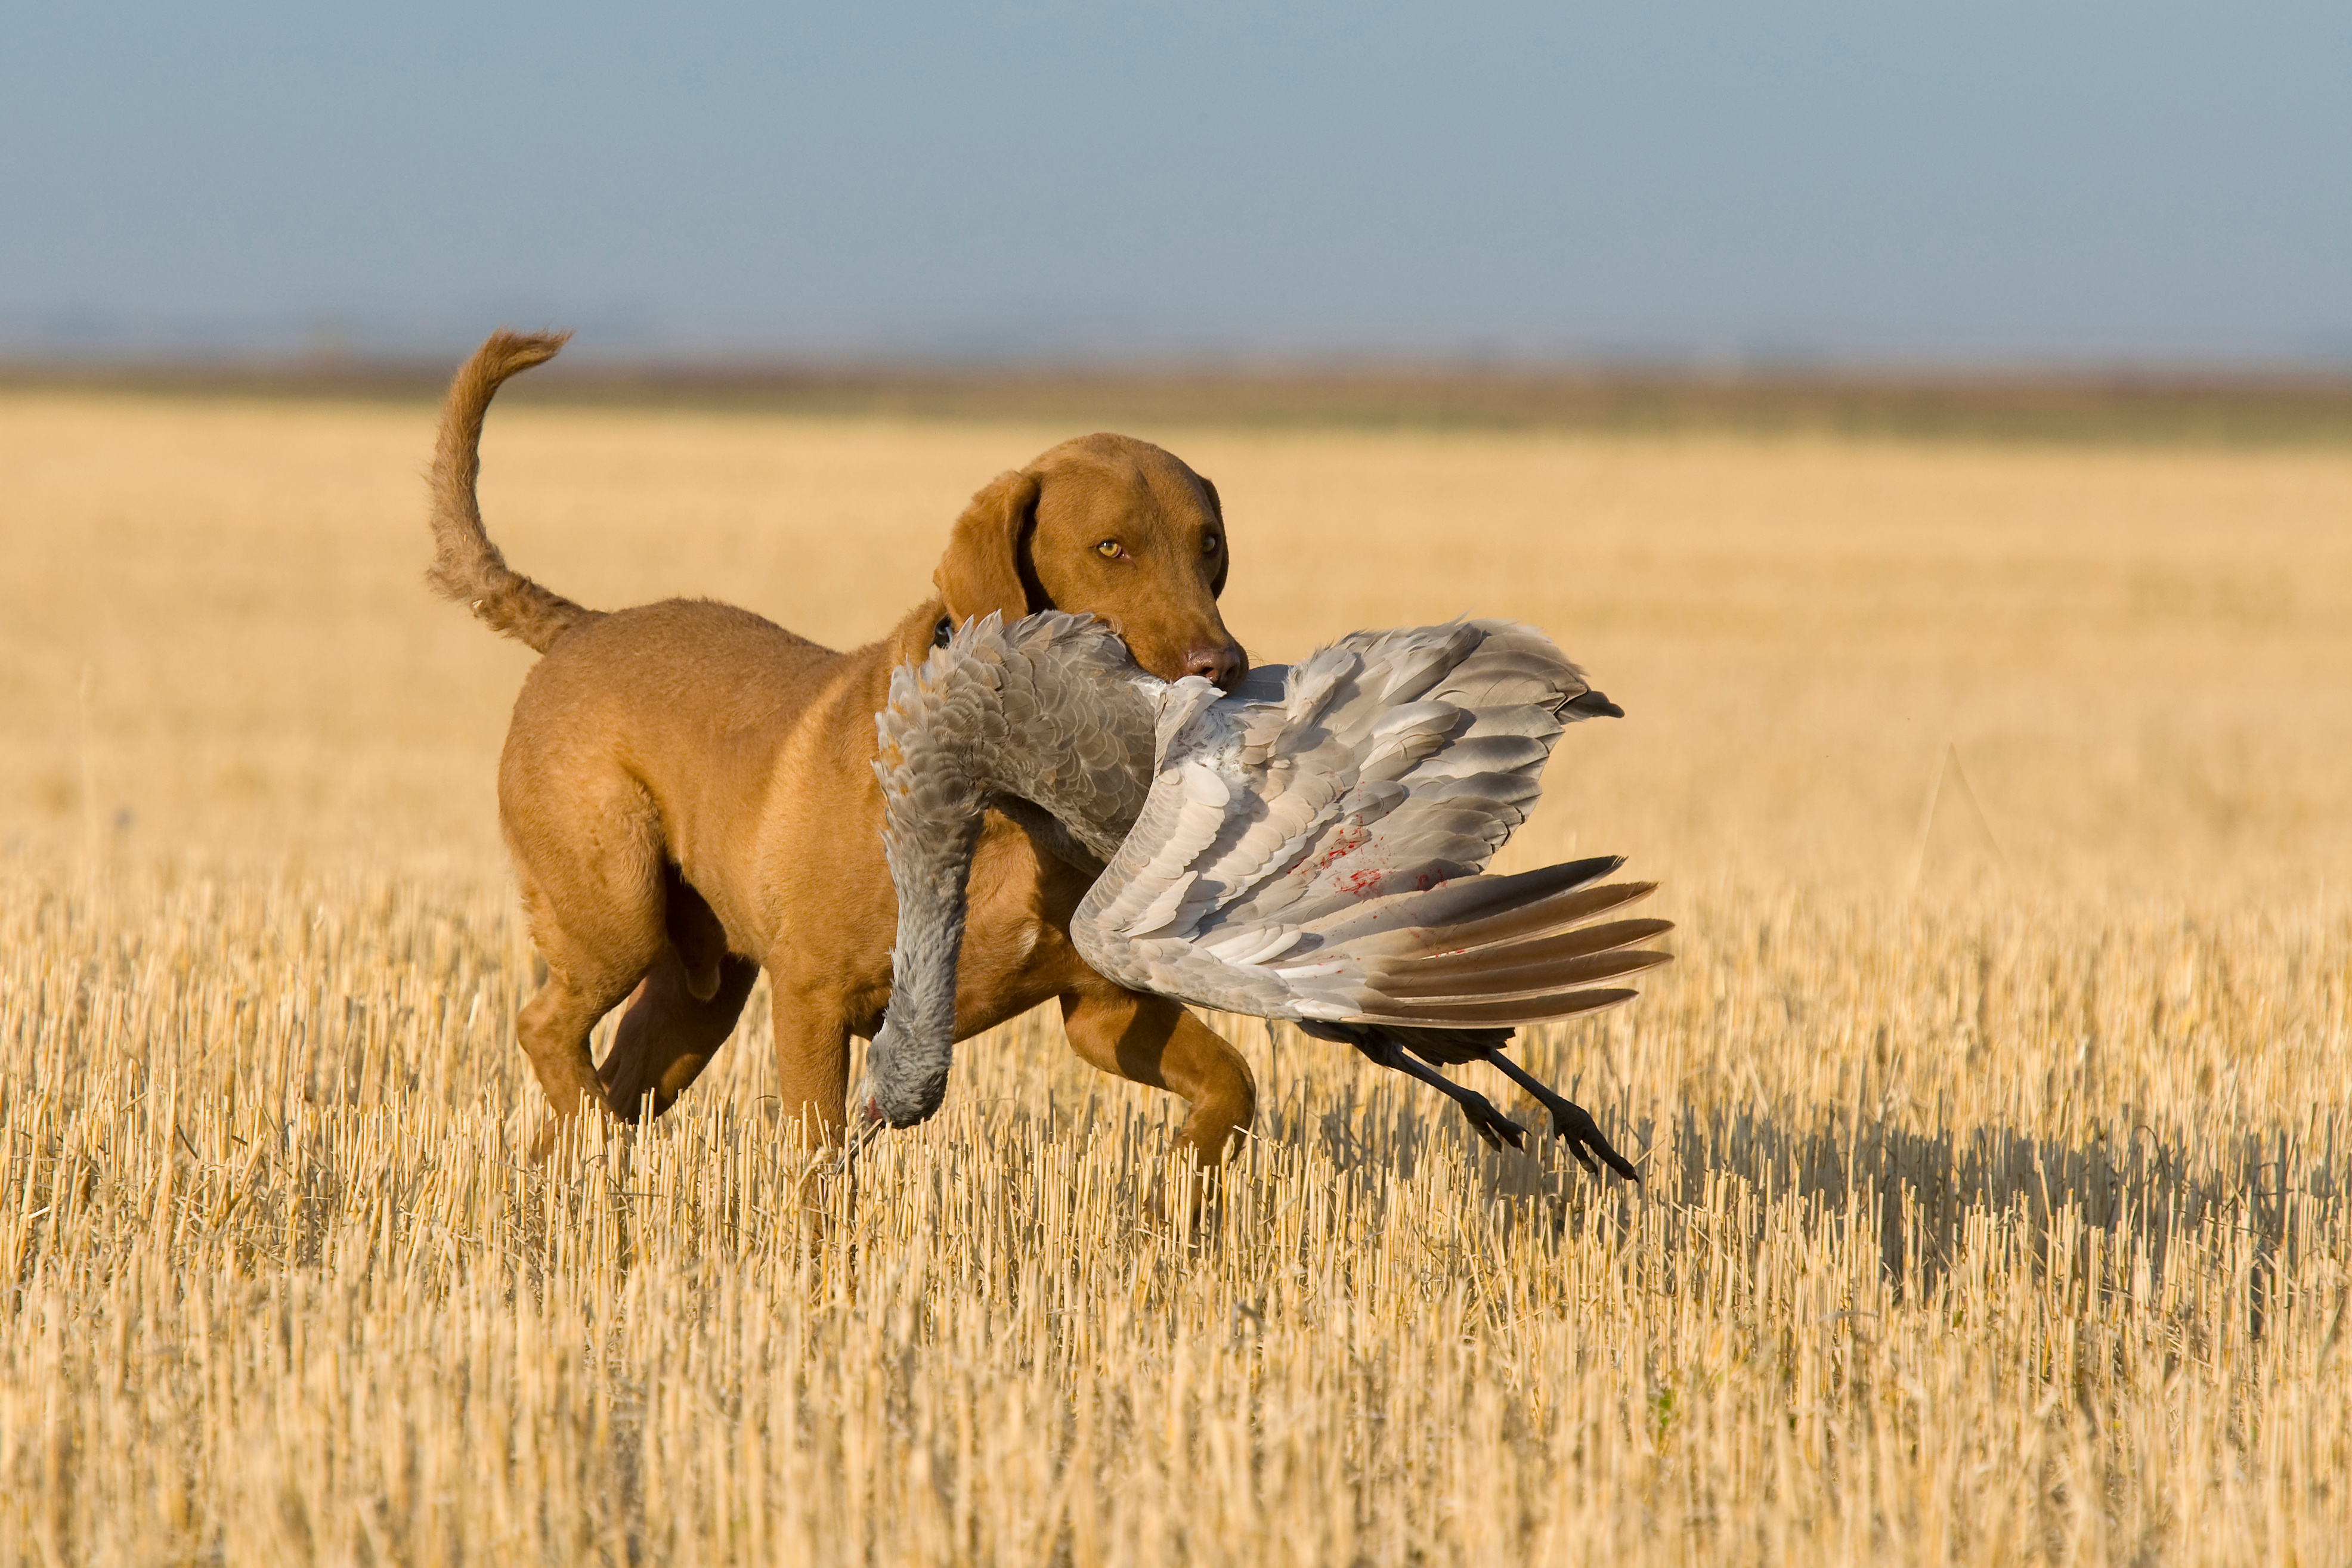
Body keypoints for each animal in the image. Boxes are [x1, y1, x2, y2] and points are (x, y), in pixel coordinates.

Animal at [430, 331, 1260, 1166]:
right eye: (1110, 547)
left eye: (1210, 546)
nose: (1221, 664)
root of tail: (582, 625)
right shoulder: (811, 998)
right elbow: (816, 1162)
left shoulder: (1101, 1007)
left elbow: (1236, 1082)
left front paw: (1182, 1173)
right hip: (615, 911)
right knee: (542, 1026)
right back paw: (598, 1139)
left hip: (693, 1002)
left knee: (600, 1083)